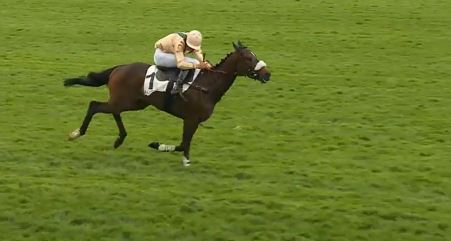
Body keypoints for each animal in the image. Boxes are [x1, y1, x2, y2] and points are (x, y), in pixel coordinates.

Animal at [64, 41, 272, 166]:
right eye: (248, 58)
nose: (267, 74)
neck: (207, 85)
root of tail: (119, 68)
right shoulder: (191, 119)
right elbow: (182, 144)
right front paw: (156, 145)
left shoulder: (192, 120)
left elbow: (185, 144)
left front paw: (185, 162)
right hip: (125, 101)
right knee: (94, 105)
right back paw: (77, 133)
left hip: (133, 102)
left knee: (112, 111)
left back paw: (119, 139)